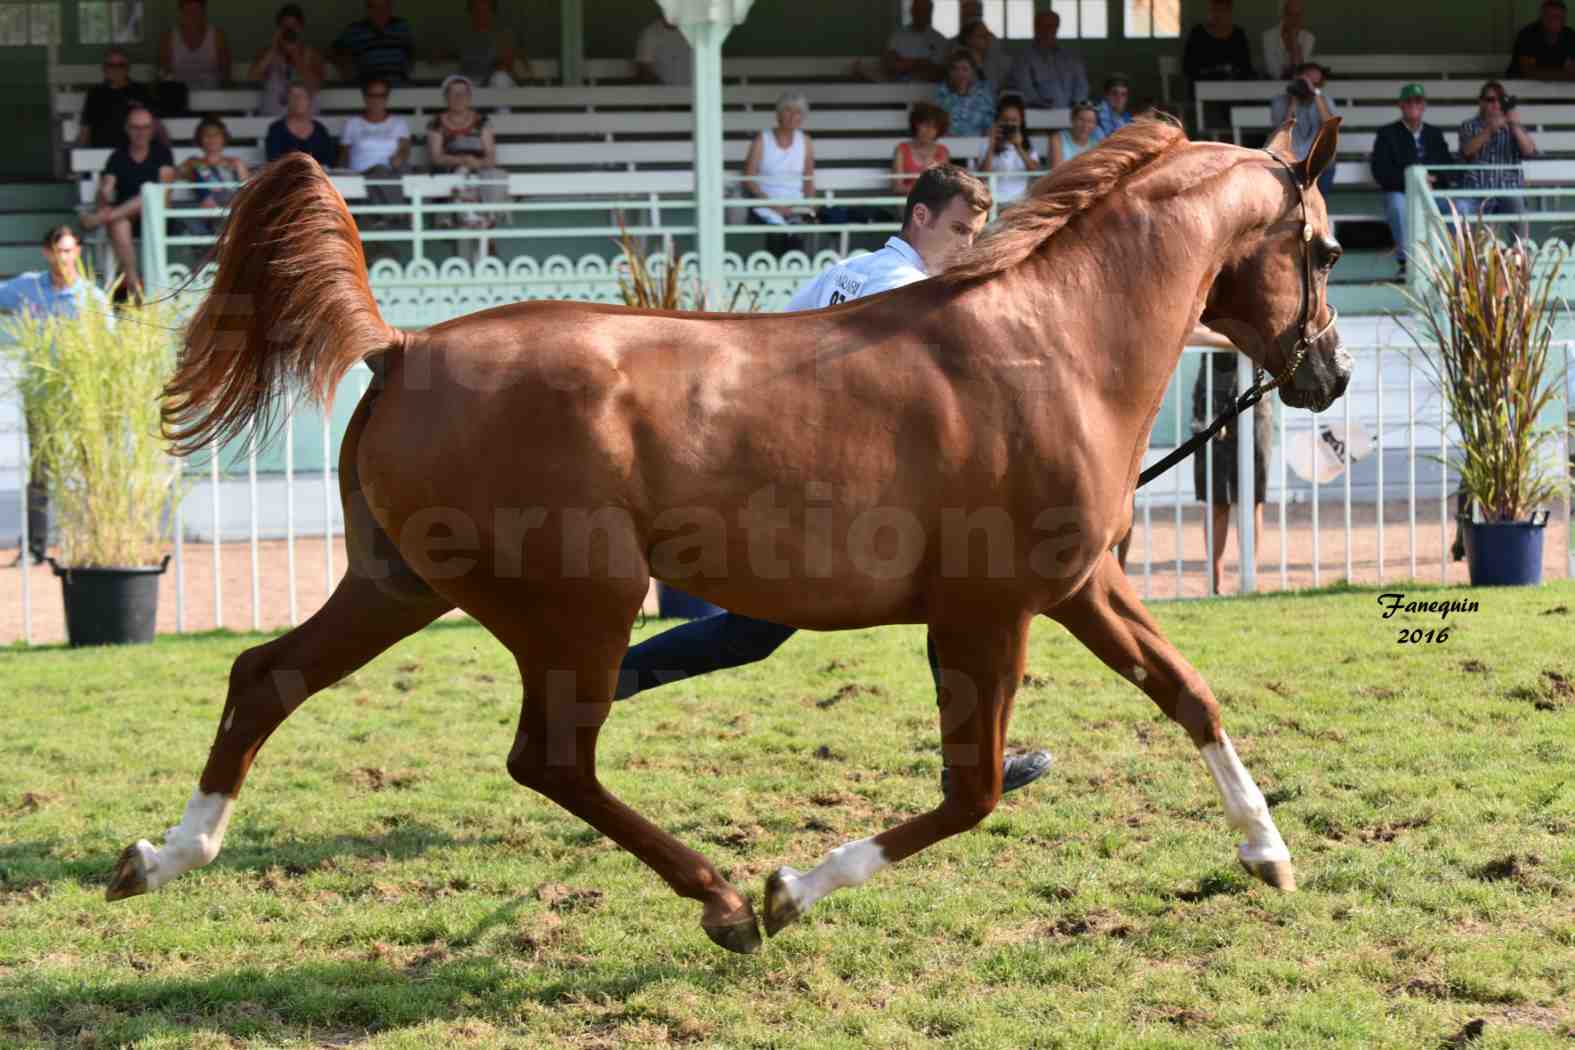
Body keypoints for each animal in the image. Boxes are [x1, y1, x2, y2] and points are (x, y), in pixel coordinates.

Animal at [104, 118, 1348, 957]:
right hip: (581, 600)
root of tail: (401, 346)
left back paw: (158, 856)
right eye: (1328, 251)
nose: (1330, 377)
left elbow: (1189, 693)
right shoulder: (986, 612)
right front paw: (791, 887)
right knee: (548, 757)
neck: (1052, 340)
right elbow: (975, 790)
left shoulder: (1081, 584)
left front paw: (1268, 854)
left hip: (398, 582)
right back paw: (722, 900)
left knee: (268, 677)